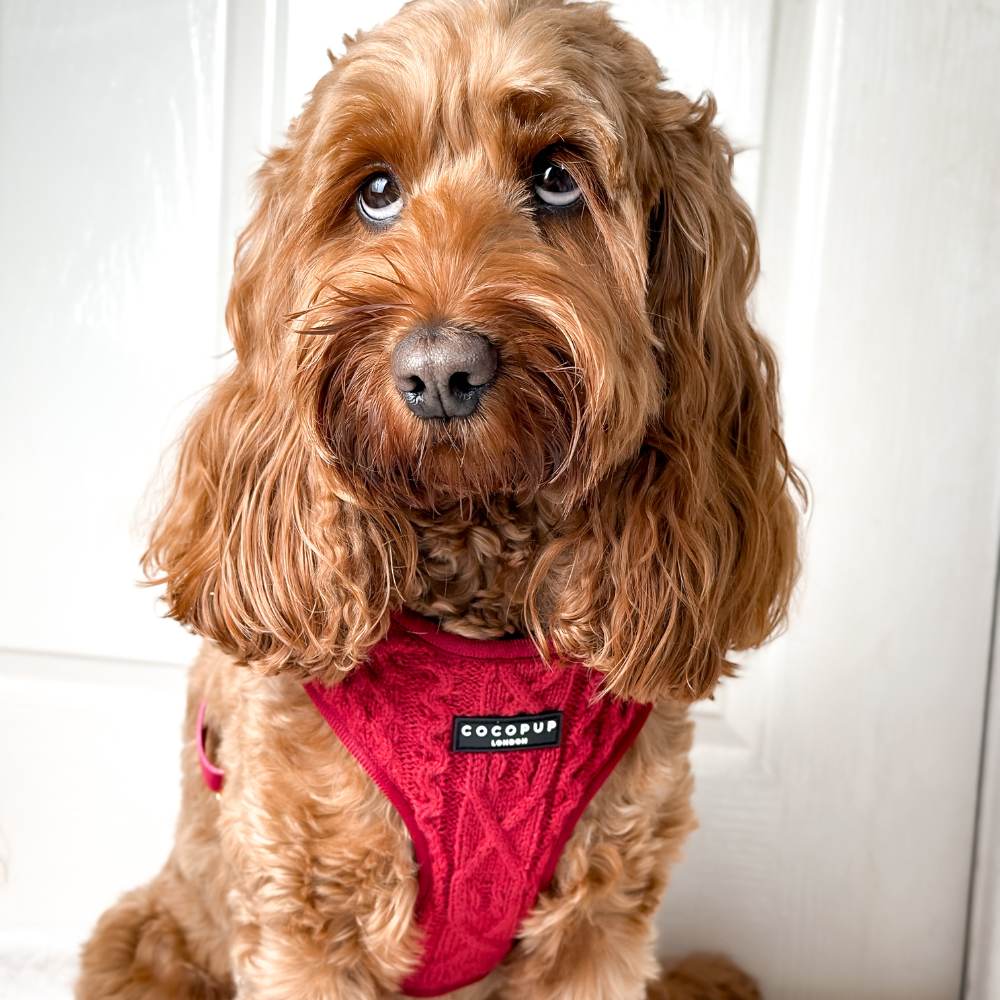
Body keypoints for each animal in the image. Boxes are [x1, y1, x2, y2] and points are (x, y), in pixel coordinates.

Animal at [74, 1, 800, 1000]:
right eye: (376, 191)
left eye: (557, 178)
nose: (440, 372)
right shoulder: (307, 921)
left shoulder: (599, 923)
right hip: (145, 939)